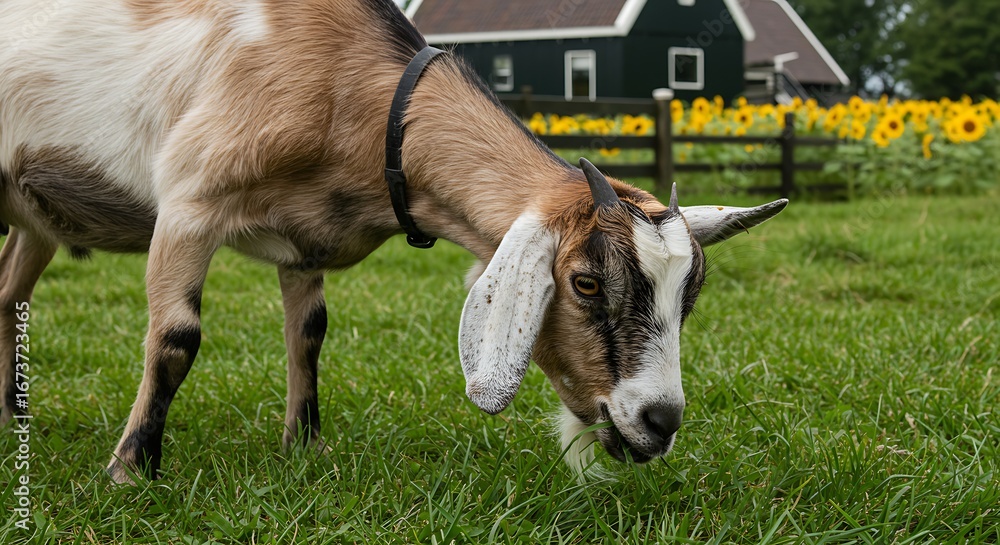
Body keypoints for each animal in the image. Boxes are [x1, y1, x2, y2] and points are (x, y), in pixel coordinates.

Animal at [0, 0, 786, 483]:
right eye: (586, 282)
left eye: (690, 296)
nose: (660, 421)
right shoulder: (190, 203)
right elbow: (175, 339)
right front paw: (131, 469)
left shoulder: (304, 244)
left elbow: (310, 333)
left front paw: (304, 447)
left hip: (31, 219)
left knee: (11, 293)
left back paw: (13, 414)